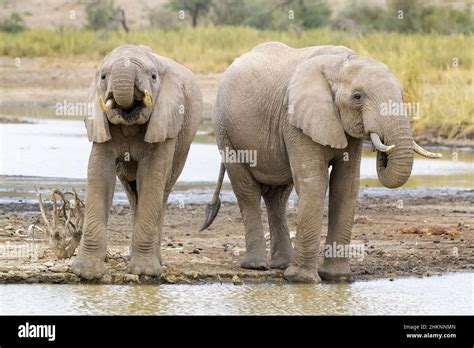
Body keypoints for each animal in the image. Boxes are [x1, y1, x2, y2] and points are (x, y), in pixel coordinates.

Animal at [200, 42, 440, 284]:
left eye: (402, 95)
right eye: (357, 97)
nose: (382, 147)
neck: (340, 63)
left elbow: (345, 185)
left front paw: (337, 277)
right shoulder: (295, 118)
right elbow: (314, 182)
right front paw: (302, 280)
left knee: (278, 197)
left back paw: (282, 264)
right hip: (225, 129)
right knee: (247, 191)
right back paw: (257, 266)